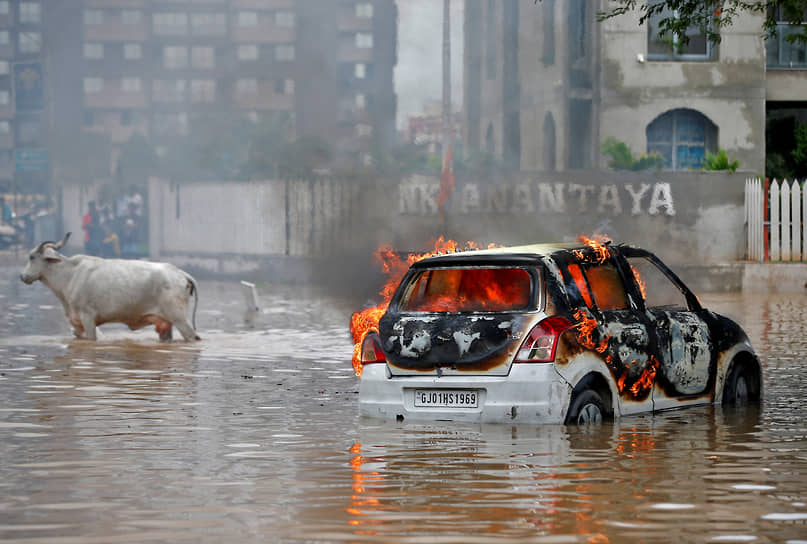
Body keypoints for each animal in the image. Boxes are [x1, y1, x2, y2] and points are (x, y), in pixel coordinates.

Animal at [21, 233, 201, 340]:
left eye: (31, 257)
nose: (23, 276)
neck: (70, 274)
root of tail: (180, 272)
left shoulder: (88, 317)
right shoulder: (77, 323)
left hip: (180, 318)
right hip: (165, 324)